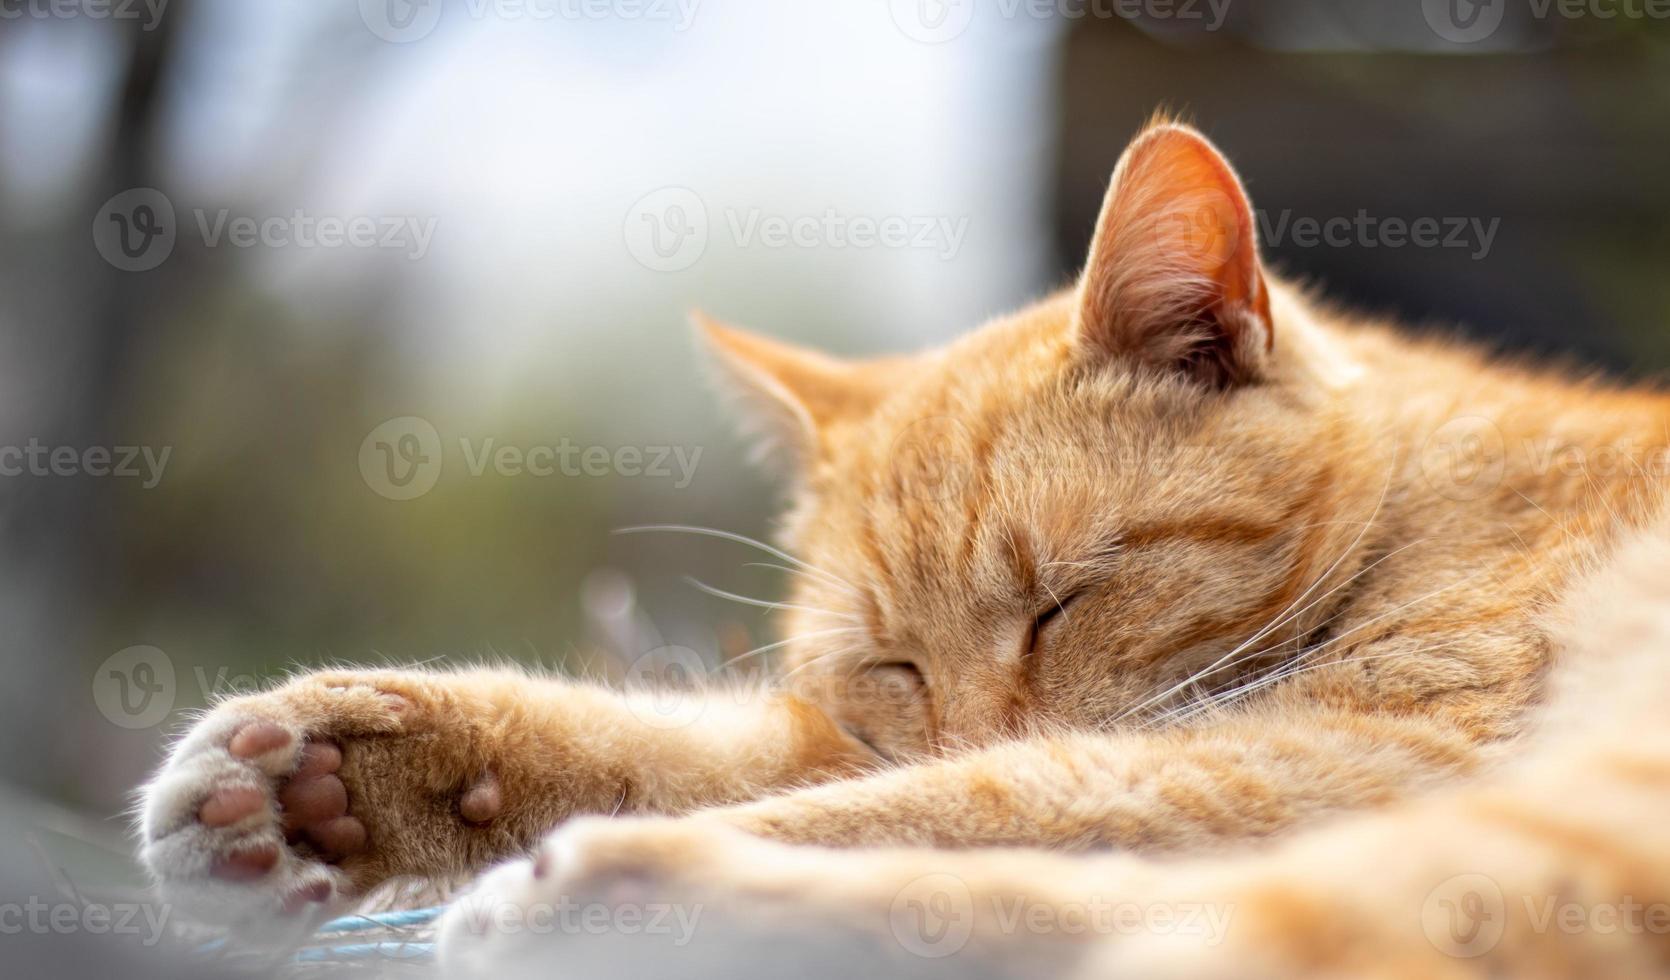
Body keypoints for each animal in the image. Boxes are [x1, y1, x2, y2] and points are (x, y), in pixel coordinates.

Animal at [136, 118, 1670, 974]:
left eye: (1061, 605)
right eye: (894, 666)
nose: (971, 718)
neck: (1415, 488)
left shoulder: (1359, 743)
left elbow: (961, 798)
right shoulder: (858, 728)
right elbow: (715, 751)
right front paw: (331, 780)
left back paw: (617, 903)